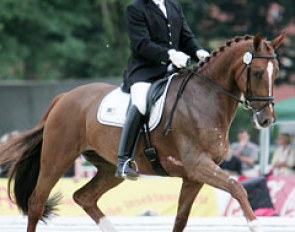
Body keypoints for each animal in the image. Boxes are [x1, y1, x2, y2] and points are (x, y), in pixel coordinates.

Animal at [0, 33, 286, 232]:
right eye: (257, 72)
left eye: (277, 73)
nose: (266, 119)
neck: (205, 98)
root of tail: (64, 96)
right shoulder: (198, 165)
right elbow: (238, 188)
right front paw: (254, 224)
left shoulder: (194, 176)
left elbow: (181, 219)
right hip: (57, 158)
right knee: (36, 202)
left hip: (108, 168)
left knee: (84, 197)